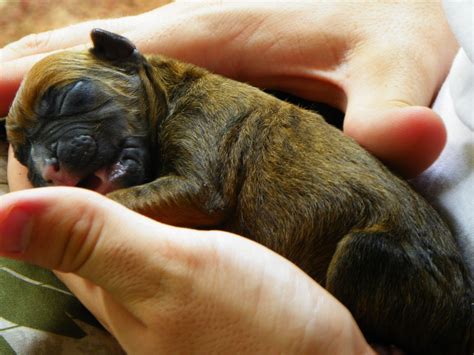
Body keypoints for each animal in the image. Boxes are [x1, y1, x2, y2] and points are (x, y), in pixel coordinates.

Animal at [5, 29, 472, 354]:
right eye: (23, 152)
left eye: (71, 96)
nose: (48, 165)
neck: (171, 93)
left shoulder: (200, 155)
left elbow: (126, 197)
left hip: (369, 253)